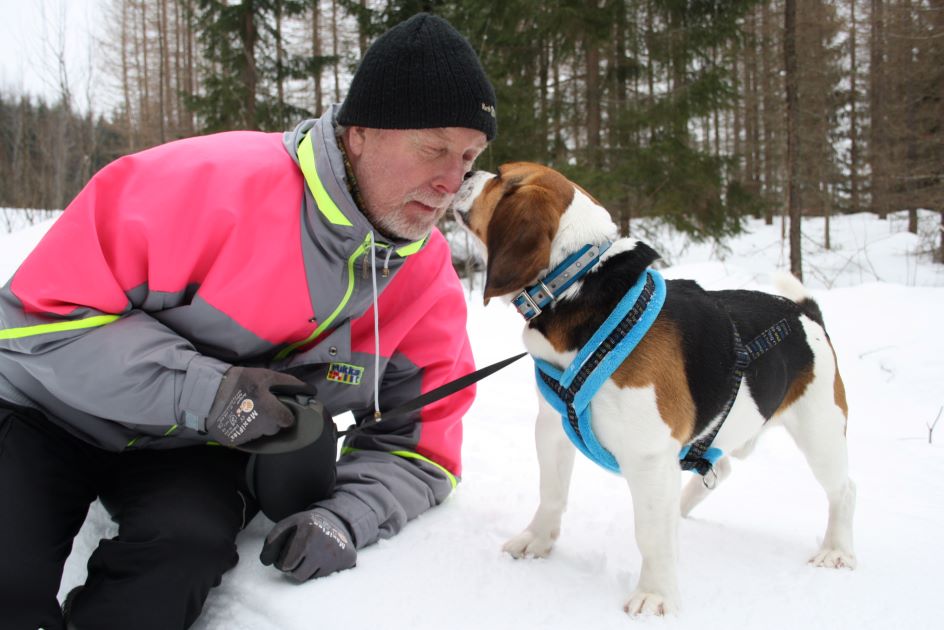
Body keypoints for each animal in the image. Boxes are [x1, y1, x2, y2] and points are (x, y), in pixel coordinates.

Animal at [450, 162, 856, 616]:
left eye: (501, 177)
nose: (467, 171)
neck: (579, 280)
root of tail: (806, 314)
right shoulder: (552, 428)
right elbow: (551, 493)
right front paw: (537, 540)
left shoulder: (646, 455)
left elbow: (648, 533)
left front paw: (655, 593)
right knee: (716, 471)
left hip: (820, 431)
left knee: (844, 490)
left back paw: (836, 550)